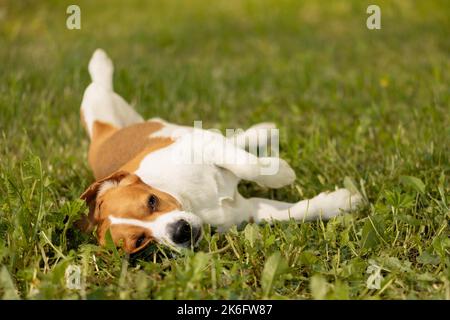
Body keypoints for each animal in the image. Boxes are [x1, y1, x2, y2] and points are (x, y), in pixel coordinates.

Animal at [77, 48, 362, 254]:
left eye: (151, 201)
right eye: (139, 242)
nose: (179, 232)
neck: (189, 200)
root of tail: (101, 134)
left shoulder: (205, 146)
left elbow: (250, 166)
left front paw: (282, 173)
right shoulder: (247, 211)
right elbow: (295, 211)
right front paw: (339, 202)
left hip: (119, 109)